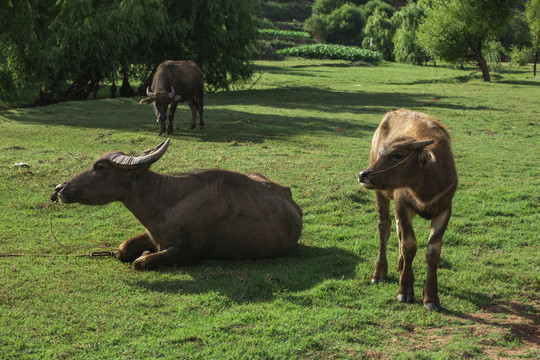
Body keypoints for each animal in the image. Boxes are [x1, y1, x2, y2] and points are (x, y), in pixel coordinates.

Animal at [50, 139, 304, 268]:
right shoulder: (151, 233)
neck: (165, 202)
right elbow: (122, 250)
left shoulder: (185, 252)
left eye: (100, 167)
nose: (59, 188)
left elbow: (140, 262)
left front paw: (142, 255)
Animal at [356, 109, 458, 310]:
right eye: (381, 153)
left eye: (398, 155)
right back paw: (380, 271)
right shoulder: (402, 204)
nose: (364, 175)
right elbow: (409, 245)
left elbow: (433, 252)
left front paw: (431, 297)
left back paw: (401, 264)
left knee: (398, 232)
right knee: (384, 227)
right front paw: (405, 290)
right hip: (380, 193)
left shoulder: (444, 211)